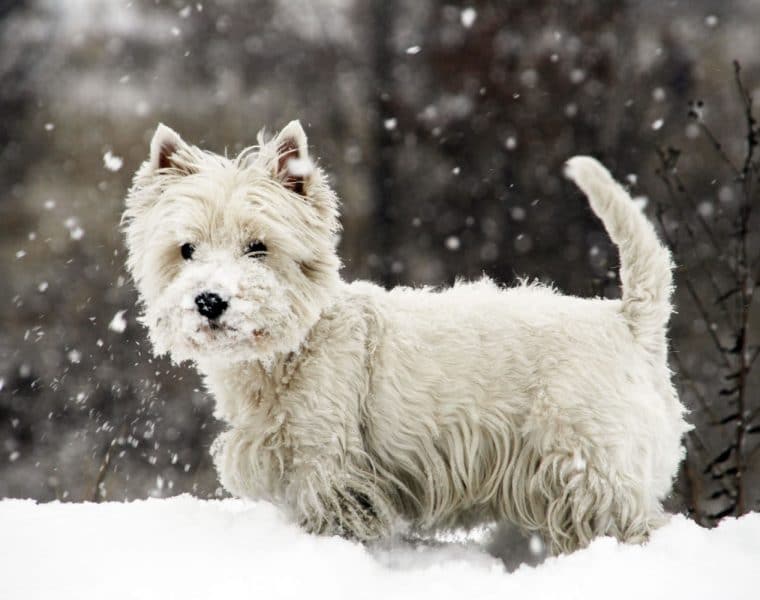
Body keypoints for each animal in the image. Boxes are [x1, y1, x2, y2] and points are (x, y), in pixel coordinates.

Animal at [123, 120, 688, 552]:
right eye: (186, 249)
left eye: (258, 246)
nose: (210, 301)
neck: (288, 353)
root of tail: (629, 321)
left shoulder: (327, 461)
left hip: (591, 462)